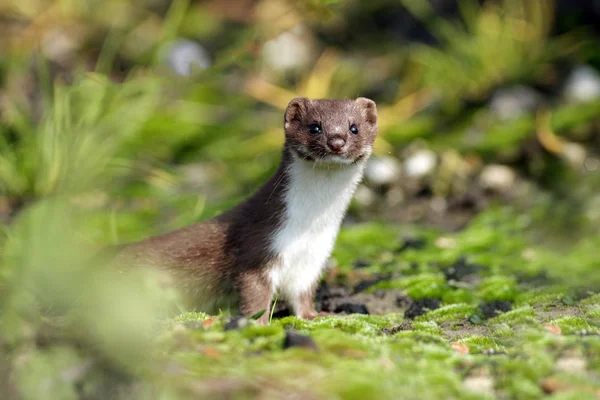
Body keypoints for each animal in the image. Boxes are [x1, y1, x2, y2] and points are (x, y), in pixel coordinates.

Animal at [110, 97, 378, 324]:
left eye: (353, 128)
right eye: (315, 127)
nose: (336, 142)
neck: (308, 227)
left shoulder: (313, 259)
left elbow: (302, 294)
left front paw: (316, 315)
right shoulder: (258, 246)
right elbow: (254, 293)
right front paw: (258, 323)